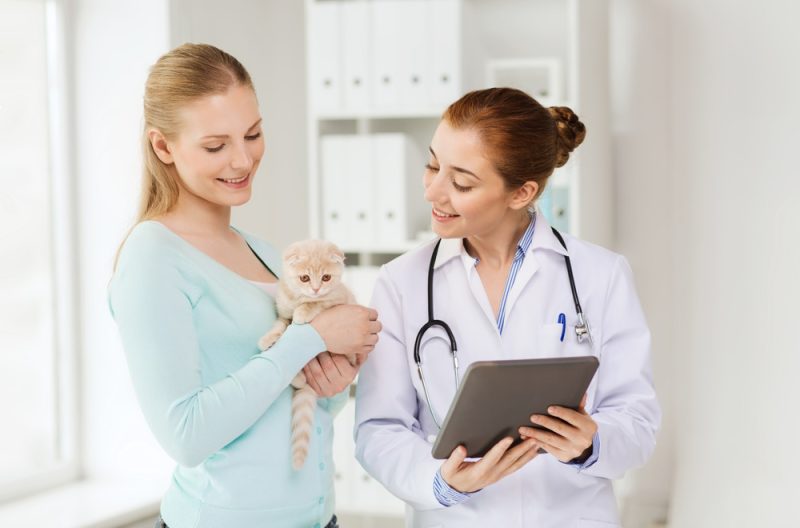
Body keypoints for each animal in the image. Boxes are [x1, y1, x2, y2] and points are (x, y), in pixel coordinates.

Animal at [258, 240, 354, 470]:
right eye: (305, 278)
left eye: (326, 277)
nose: (316, 289)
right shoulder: (283, 313)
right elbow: (279, 326)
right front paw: (268, 339)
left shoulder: (339, 300)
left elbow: (316, 304)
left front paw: (303, 311)